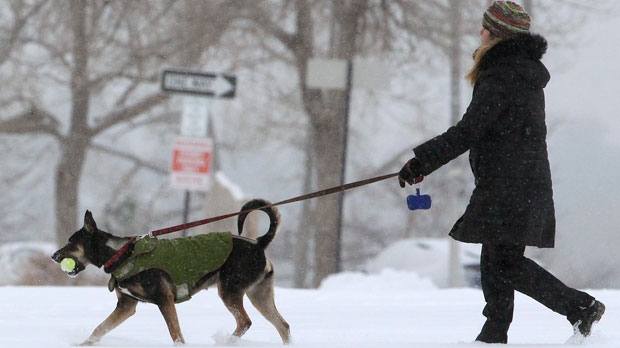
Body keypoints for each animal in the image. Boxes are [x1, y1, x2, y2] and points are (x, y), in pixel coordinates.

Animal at [51, 198, 290, 346]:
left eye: (70, 243)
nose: (53, 256)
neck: (121, 254)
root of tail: (258, 244)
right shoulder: (126, 306)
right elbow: (99, 329)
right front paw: (81, 344)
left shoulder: (163, 299)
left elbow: (175, 333)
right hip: (259, 294)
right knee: (282, 325)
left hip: (230, 290)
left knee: (245, 322)